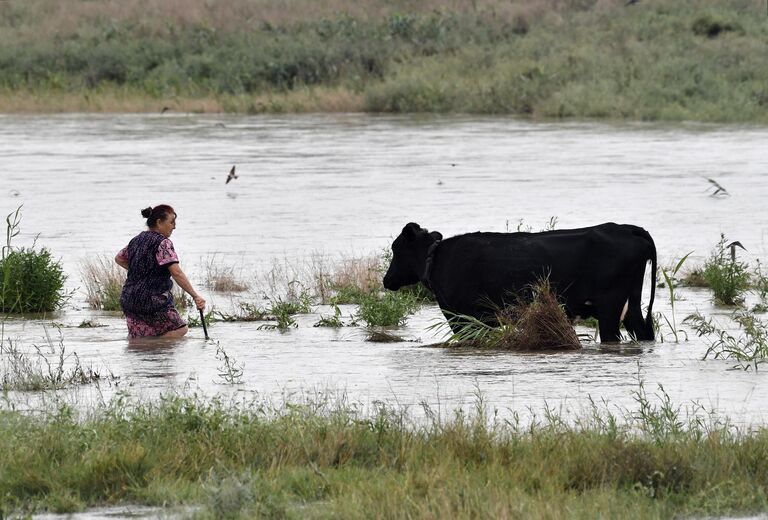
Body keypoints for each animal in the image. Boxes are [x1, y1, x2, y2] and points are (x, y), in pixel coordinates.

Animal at [380, 221, 656, 344]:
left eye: (396, 248)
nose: (386, 279)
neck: (437, 258)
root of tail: (625, 227)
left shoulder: (463, 317)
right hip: (631, 305)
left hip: (610, 307)